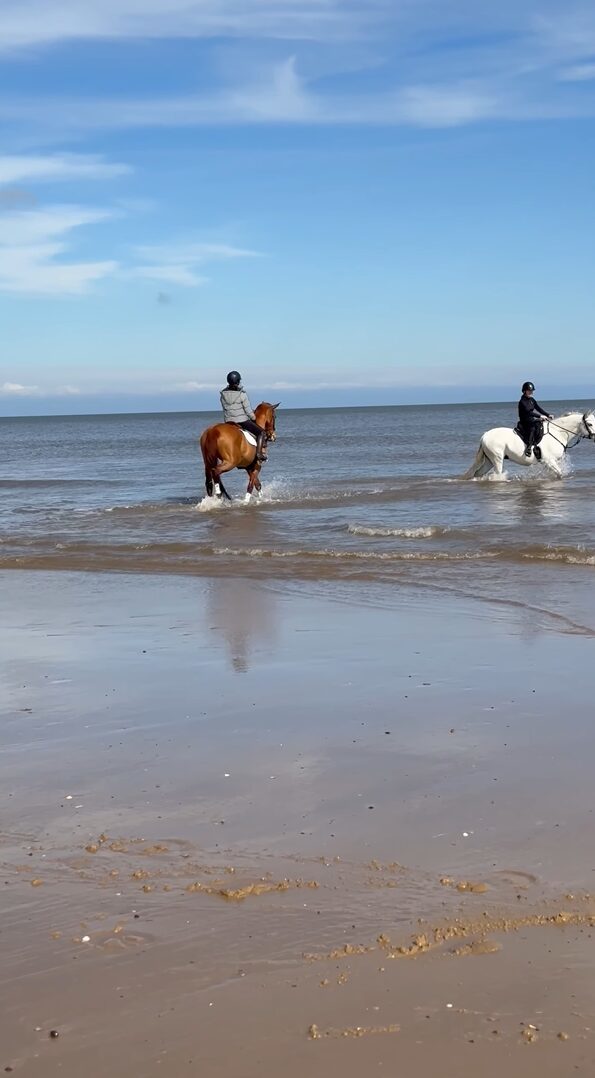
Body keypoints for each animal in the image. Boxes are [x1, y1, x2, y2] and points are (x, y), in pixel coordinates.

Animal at [465, 409, 595, 478]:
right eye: (590, 424)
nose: (594, 437)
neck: (558, 432)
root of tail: (485, 435)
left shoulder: (549, 462)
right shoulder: (549, 460)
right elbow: (559, 473)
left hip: (489, 461)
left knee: (478, 473)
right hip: (497, 459)